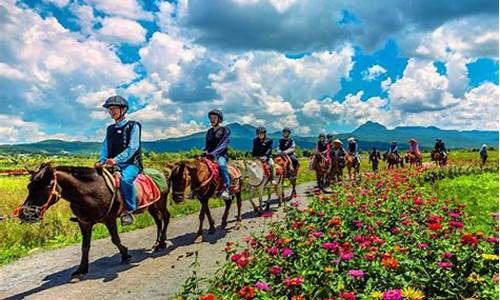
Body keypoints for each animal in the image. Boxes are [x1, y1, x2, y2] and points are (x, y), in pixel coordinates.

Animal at [14, 163, 171, 280]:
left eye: (46, 186)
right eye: (29, 187)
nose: (25, 214)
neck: (90, 193)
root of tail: (162, 173)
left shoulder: (109, 219)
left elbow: (115, 239)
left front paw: (125, 254)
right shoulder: (85, 223)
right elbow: (85, 246)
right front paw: (81, 268)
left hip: (160, 202)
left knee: (165, 217)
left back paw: (160, 243)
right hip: (152, 205)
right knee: (159, 221)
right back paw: (158, 243)